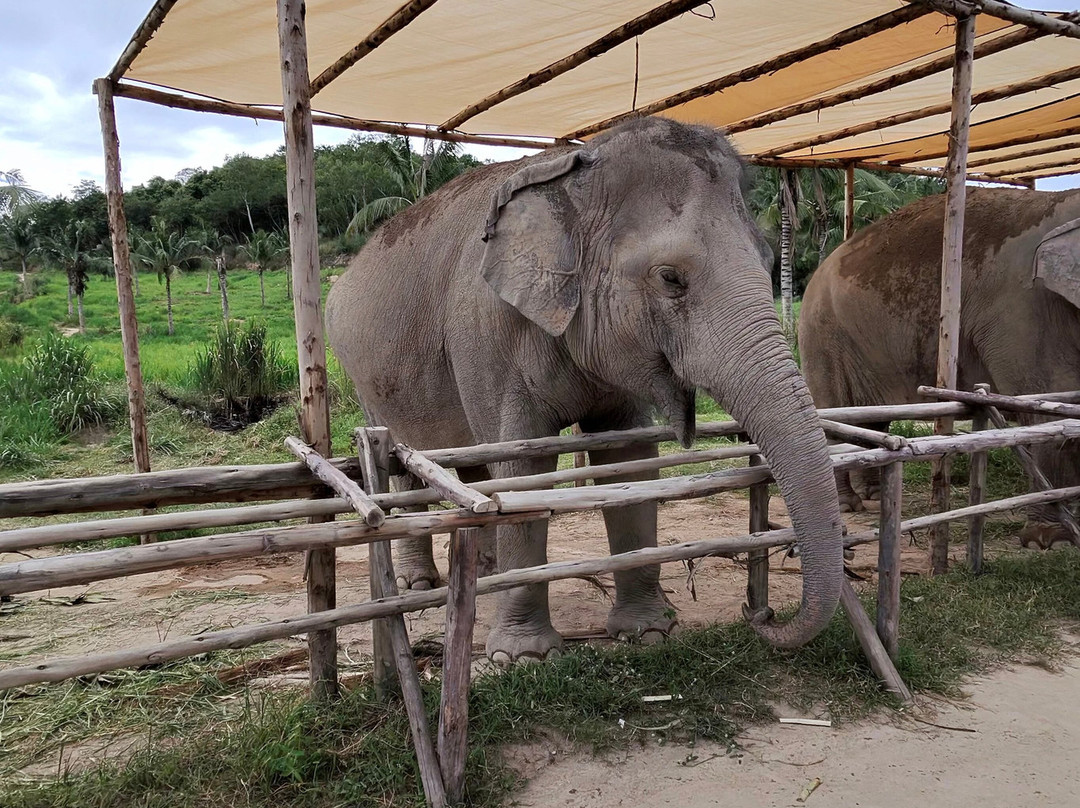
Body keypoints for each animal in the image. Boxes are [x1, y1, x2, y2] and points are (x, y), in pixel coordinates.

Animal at [326, 116, 843, 663]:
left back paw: (484, 574)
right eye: (670, 278)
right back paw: (419, 586)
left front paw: (648, 631)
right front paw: (524, 657)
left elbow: (629, 460)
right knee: (407, 465)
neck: (572, 172)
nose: (760, 615)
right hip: (366, 380)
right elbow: (523, 468)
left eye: (769, 261)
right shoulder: (486, 335)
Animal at [799, 186, 1080, 548]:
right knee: (836, 416)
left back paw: (873, 494)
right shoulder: (1027, 312)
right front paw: (1048, 542)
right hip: (822, 337)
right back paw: (847, 506)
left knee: (871, 420)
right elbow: (1050, 411)